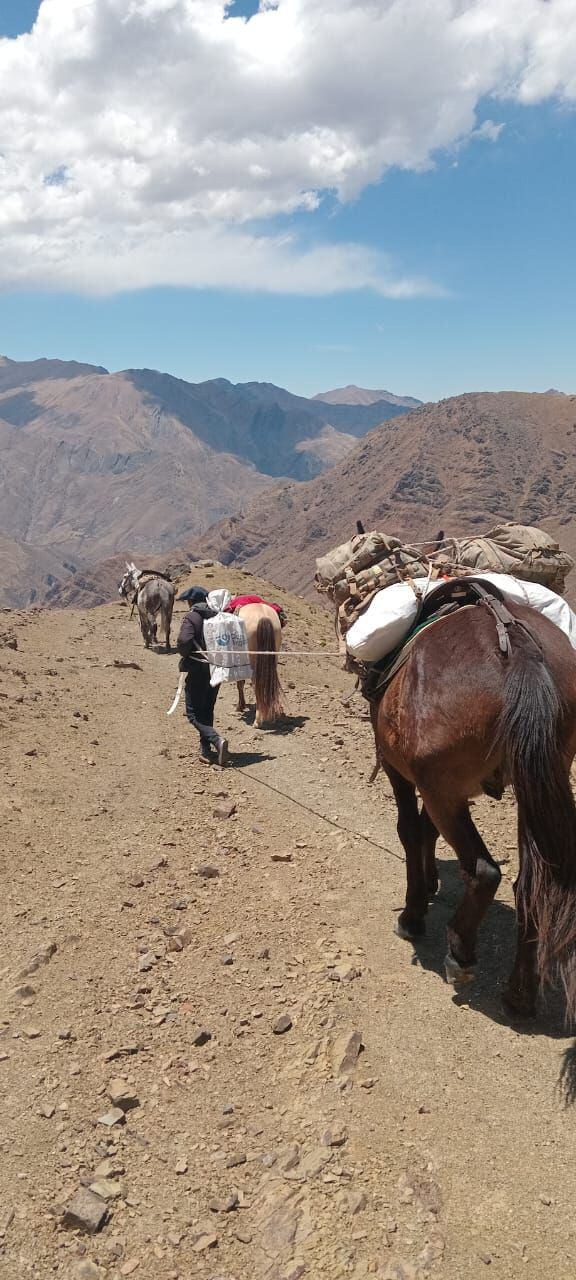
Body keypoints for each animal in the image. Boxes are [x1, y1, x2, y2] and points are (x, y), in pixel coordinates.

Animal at [371, 586, 576, 1018]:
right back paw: (519, 995)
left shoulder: (405, 771)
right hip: (537, 781)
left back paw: (460, 952)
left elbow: (410, 830)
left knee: (485, 870)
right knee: (531, 882)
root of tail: (518, 649)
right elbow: (427, 830)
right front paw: (431, 880)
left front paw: (414, 912)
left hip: (443, 788)